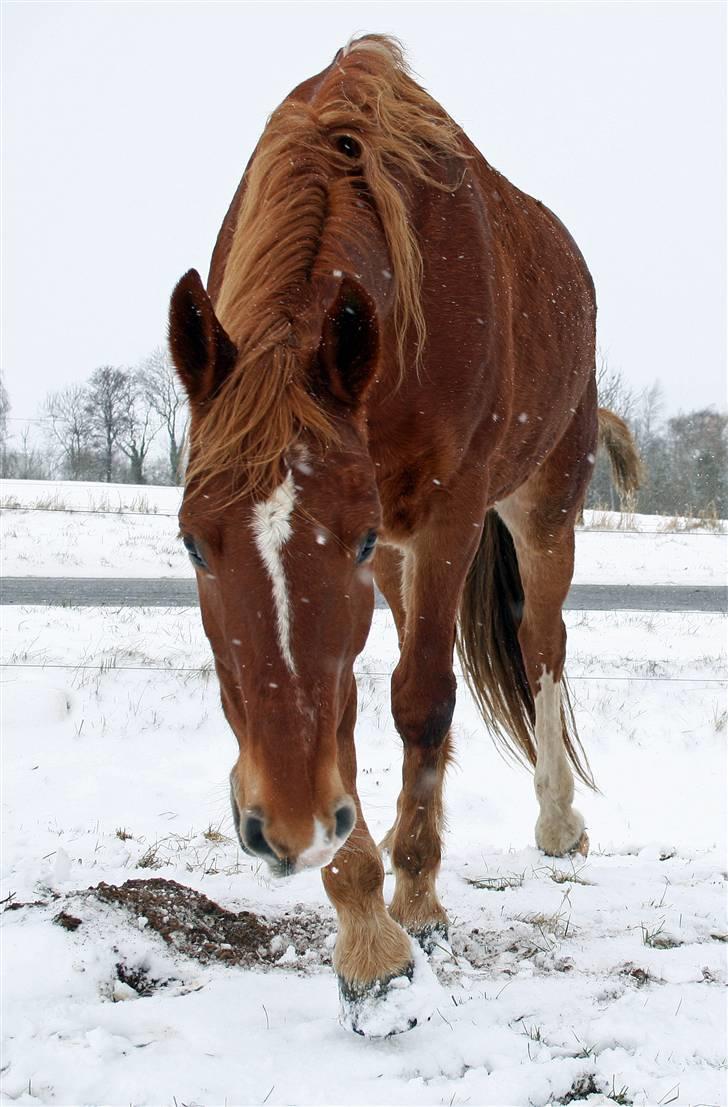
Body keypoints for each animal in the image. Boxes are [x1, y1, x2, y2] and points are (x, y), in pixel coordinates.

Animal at [167, 36, 637, 1036]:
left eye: (344, 540)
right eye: (191, 542)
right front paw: (365, 933)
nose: (287, 824)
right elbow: (342, 712)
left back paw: (556, 820)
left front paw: (413, 905)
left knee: (543, 644)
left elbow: (423, 701)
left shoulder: (441, 517)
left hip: (543, 508)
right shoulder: (387, 556)